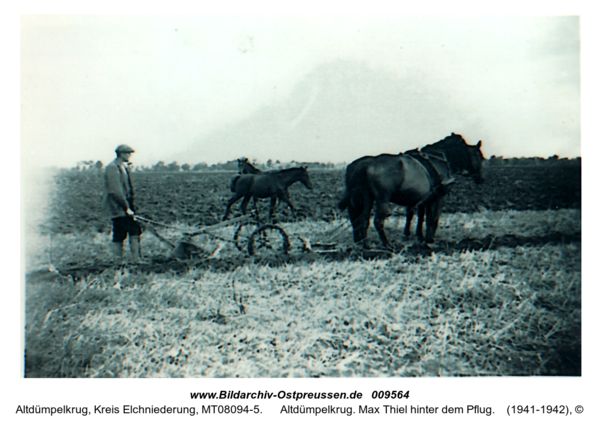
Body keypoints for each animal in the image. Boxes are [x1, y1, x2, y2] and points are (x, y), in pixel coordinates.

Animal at [340, 133, 486, 248]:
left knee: (362, 219)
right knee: (377, 221)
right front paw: (429, 239)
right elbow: (434, 218)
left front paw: (421, 237)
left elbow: (422, 217)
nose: (480, 179)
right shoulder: (440, 196)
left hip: (366, 198)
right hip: (382, 200)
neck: (439, 160)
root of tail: (365, 164)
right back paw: (386, 244)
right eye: (479, 156)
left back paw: (365, 245)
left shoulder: (425, 198)